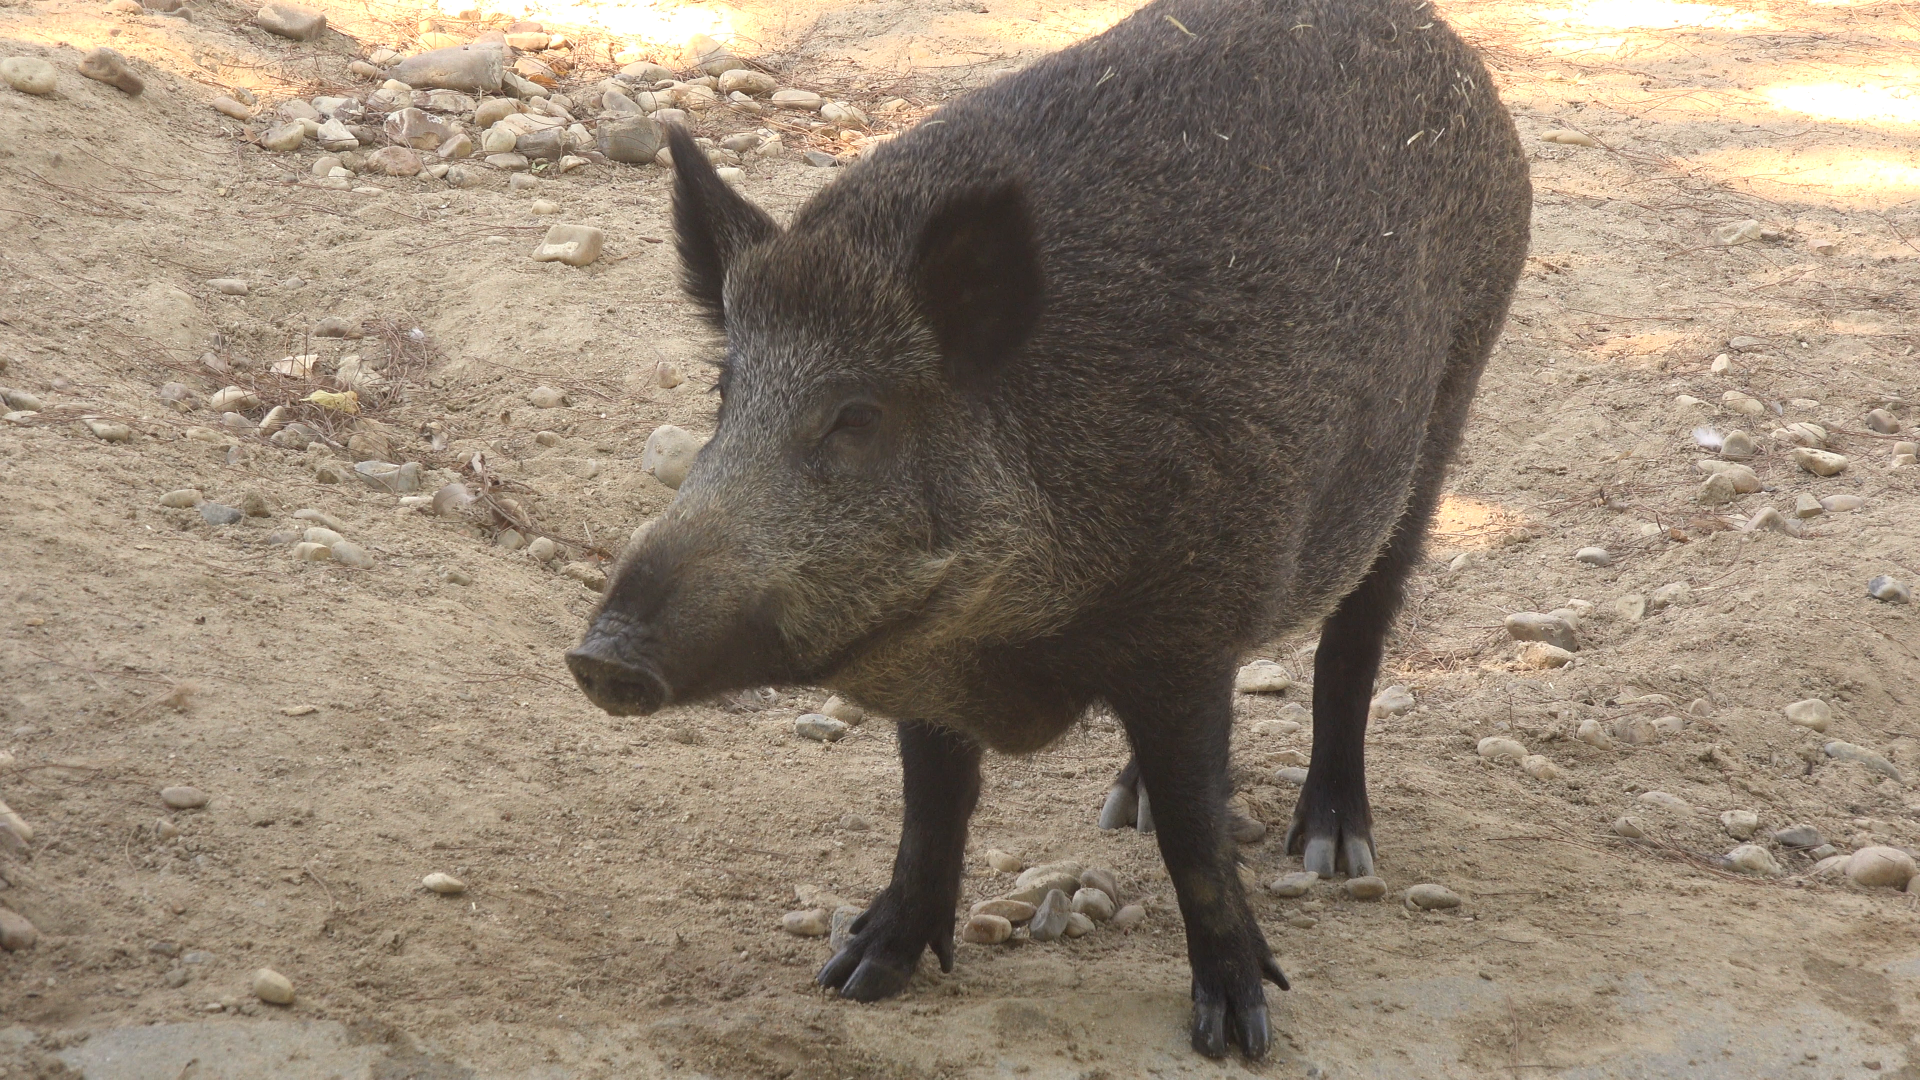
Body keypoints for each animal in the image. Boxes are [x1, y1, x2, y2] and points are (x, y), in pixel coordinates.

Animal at [567, 0, 1530, 1058]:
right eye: (723, 392)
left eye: (856, 415)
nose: (601, 657)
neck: (1004, 634)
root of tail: (1441, 42)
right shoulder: (926, 644)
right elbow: (931, 800)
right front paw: (855, 976)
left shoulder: (1187, 616)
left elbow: (1196, 831)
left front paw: (1240, 1035)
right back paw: (1125, 809)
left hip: (1448, 407)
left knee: (1359, 632)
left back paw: (1330, 849)